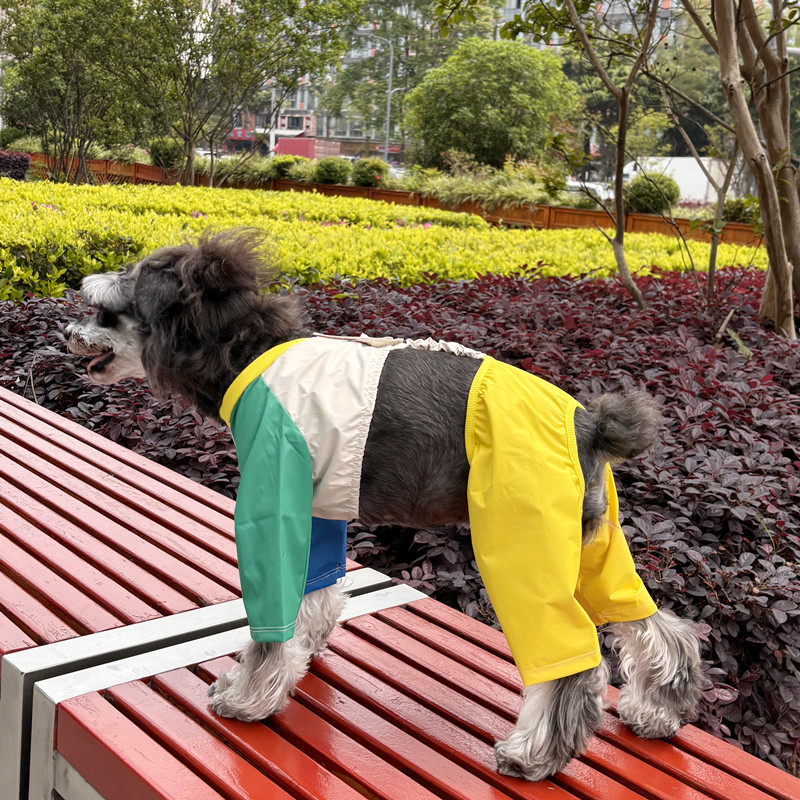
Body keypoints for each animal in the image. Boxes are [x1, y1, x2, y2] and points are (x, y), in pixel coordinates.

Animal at [67, 230, 708, 780]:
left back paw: (534, 754)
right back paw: (657, 712)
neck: (242, 351)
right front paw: (304, 653)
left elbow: (271, 622)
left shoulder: (272, 503)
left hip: (523, 545)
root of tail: (589, 424)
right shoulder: (317, 507)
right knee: (653, 623)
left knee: (570, 660)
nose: (68, 328)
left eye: (109, 308)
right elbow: (316, 591)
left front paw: (246, 696)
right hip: (591, 545)